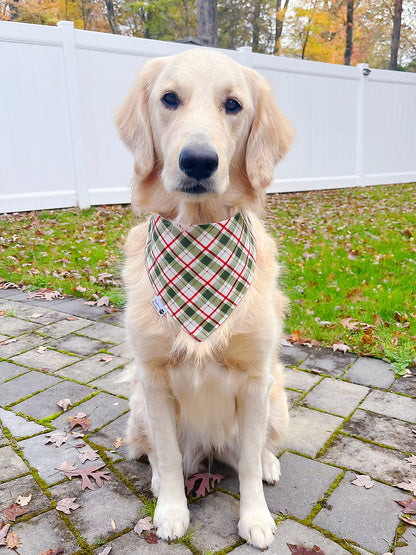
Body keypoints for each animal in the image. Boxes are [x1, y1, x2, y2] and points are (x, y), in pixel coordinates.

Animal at [115, 48, 294, 552]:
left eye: (233, 105)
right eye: (169, 99)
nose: (198, 161)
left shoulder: (255, 379)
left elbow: (249, 460)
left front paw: (255, 518)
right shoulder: (153, 379)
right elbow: (168, 454)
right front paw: (171, 510)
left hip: (277, 397)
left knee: (259, 448)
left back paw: (270, 463)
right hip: (138, 403)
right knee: (158, 453)